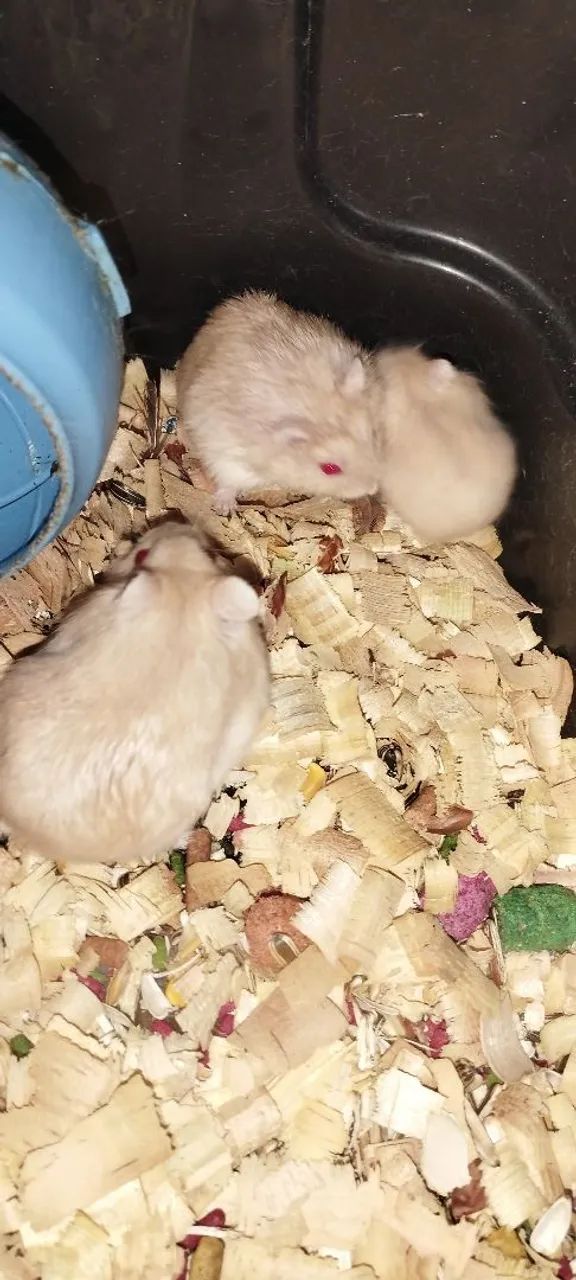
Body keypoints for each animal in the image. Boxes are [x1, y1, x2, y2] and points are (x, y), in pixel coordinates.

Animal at [177, 290, 379, 510]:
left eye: (373, 436)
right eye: (330, 468)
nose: (373, 488)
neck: (308, 404)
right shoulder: (225, 452)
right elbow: (228, 481)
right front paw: (226, 509)